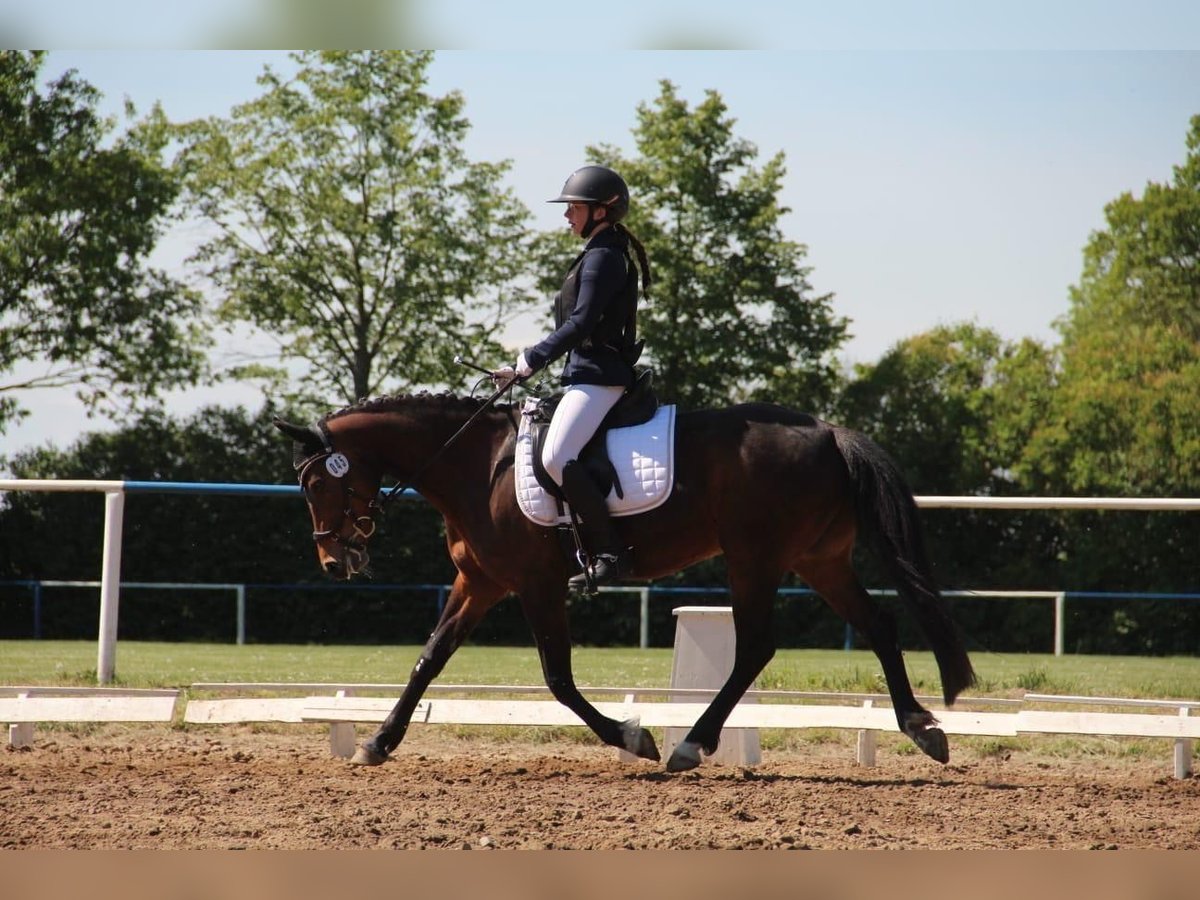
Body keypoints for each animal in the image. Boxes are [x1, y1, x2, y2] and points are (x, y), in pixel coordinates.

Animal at [274, 391, 974, 772]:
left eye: (315, 484)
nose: (335, 562)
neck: (476, 466)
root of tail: (829, 432)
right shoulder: (480, 581)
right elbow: (429, 658)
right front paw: (377, 743)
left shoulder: (536, 584)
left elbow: (558, 679)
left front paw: (632, 737)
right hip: (816, 560)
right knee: (878, 625)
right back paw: (921, 727)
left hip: (754, 558)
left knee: (755, 648)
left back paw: (690, 745)